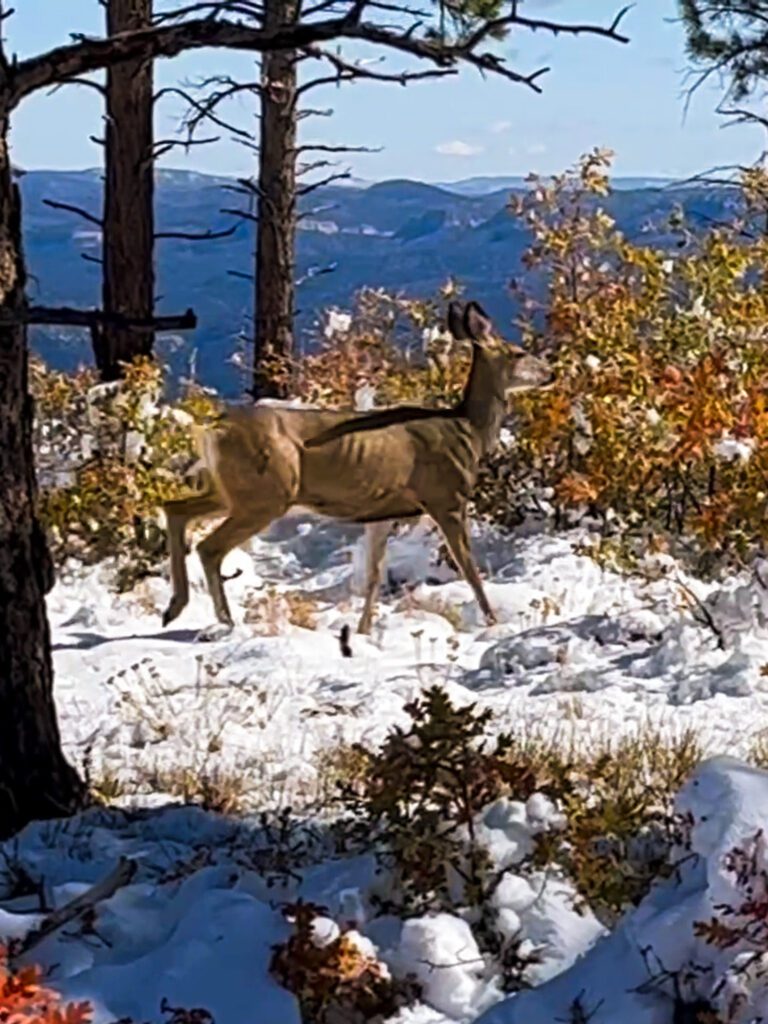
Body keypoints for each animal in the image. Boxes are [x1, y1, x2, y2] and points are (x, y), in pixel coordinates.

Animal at [162, 299, 552, 638]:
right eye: (518, 353)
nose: (548, 374)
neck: (468, 430)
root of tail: (212, 430)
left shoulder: (383, 511)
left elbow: (374, 575)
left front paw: (363, 631)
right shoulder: (448, 497)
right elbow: (469, 568)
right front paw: (492, 621)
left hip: (231, 491)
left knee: (176, 508)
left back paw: (174, 608)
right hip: (266, 493)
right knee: (209, 546)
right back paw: (221, 620)